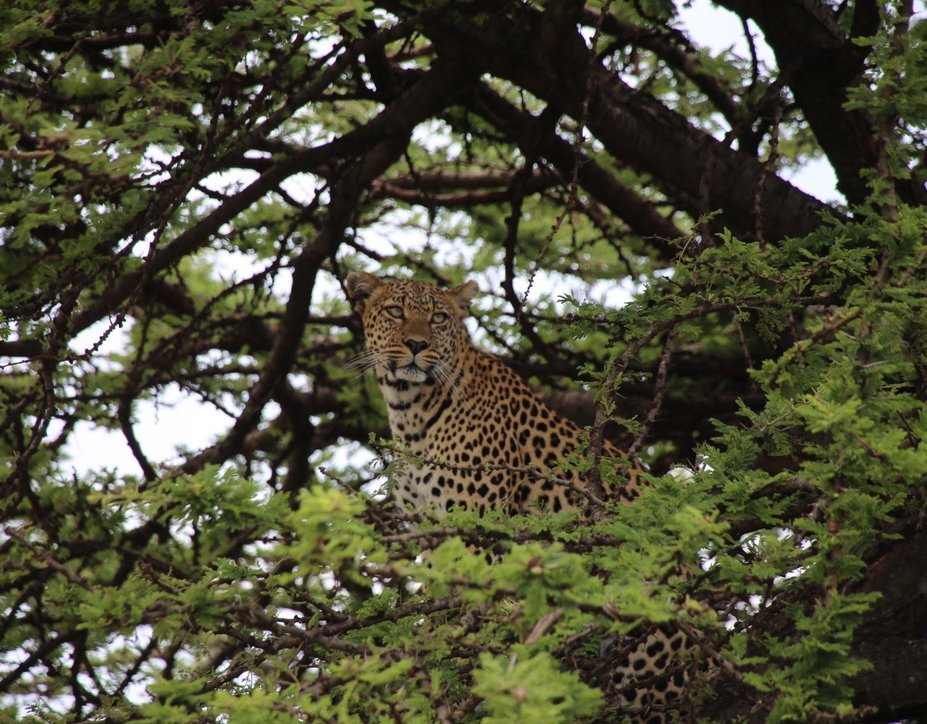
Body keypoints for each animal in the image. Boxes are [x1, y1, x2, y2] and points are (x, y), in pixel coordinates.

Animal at [348, 270, 704, 720]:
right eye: (395, 311)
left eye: (439, 319)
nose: (416, 345)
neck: (410, 412)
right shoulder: (431, 533)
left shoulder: (477, 529)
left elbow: (468, 608)